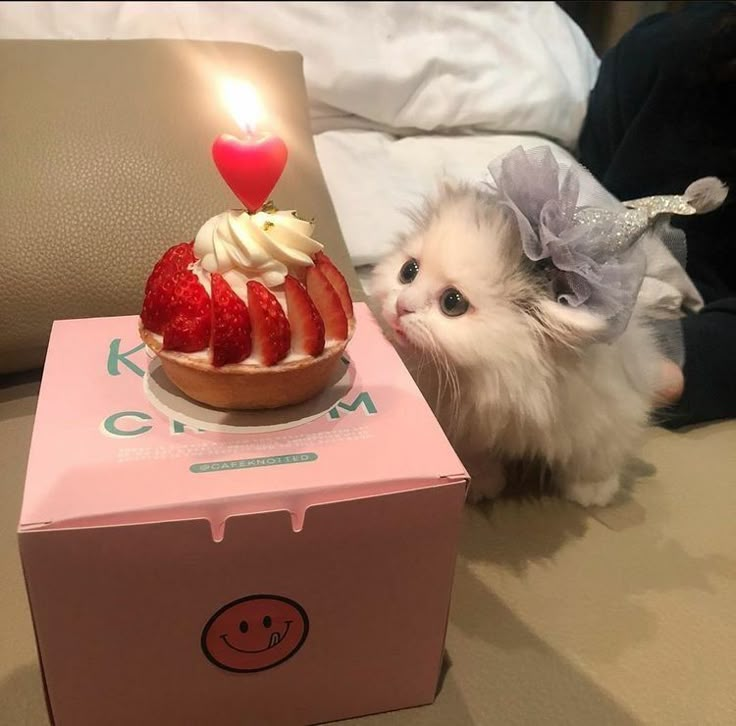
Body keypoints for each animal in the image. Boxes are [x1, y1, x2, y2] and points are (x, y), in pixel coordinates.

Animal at [370, 185, 664, 510]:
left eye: (452, 303)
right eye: (408, 271)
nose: (401, 306)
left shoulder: (607, 409)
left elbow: (595, 457)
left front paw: (594, 491)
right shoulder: (462, 422)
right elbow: (475, 455)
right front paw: (483, 484)